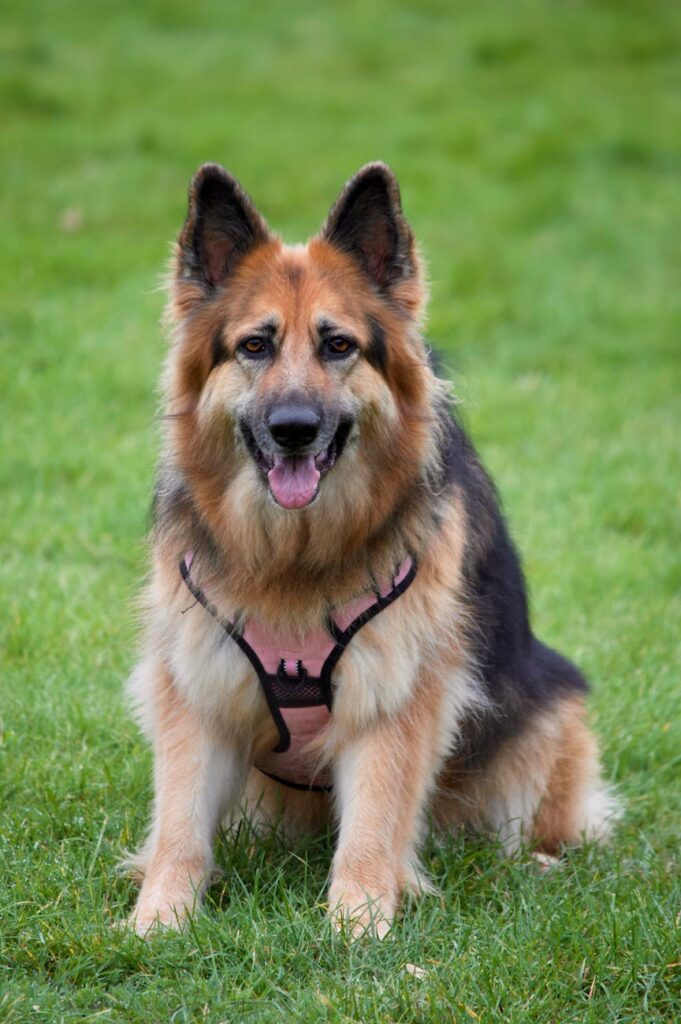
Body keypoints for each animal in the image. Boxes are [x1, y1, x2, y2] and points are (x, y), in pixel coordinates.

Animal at [125, 159, 614, 937]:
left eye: (338, 345)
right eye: (255, 346)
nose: (294, 428)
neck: (294, 558)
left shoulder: (394, 693)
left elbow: (375, 822)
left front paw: (356, 927)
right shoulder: (195, 685)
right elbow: (177, 822)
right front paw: (158, 922)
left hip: (547, 715)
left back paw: (536, 863)